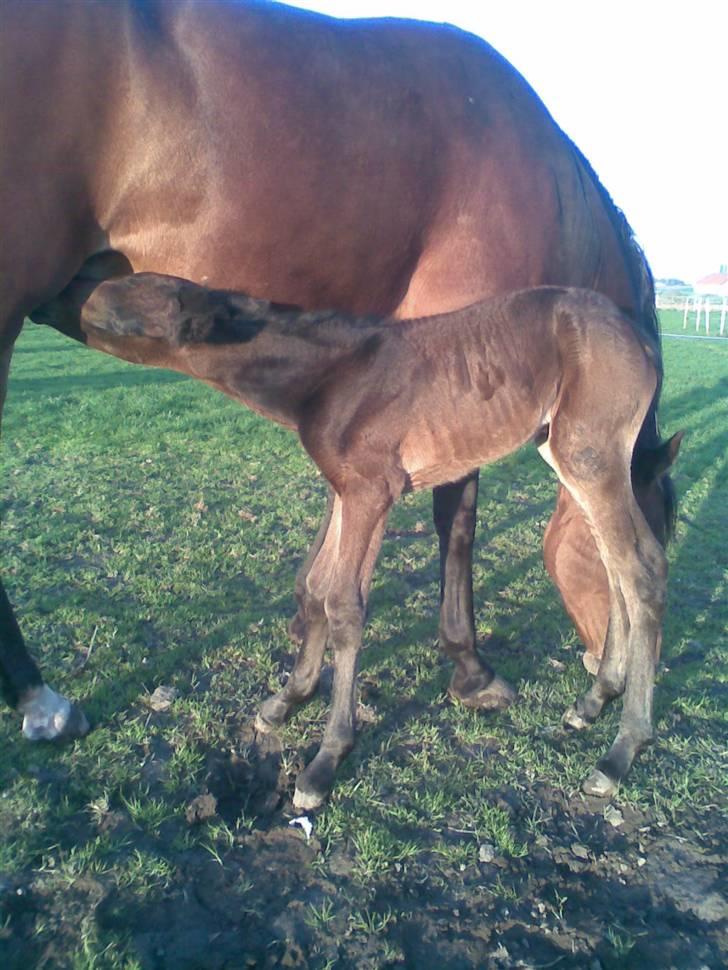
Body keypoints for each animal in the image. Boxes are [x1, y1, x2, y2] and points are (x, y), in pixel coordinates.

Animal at [77, 274, 672, 808]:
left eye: (127, 303)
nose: (75, 295)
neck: (331, 375)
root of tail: (640, 337)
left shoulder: (371, 492)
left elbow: (345, 605)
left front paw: (326, 759)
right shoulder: (346, 491)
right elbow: (318, 587)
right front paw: (287, 700)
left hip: (588, 453)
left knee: (641, 568)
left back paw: (621, 752)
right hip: (564, 453)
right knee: (615, 567)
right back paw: (593, 701)